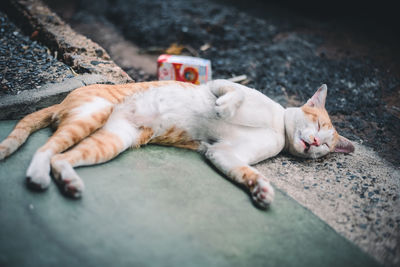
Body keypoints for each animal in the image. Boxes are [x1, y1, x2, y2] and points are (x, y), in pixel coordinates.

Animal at [0, 80, 354, 209]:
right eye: (319, 125)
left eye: (325, 148)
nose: (315, 142)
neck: (278, 128)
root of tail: (62, 101)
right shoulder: (219, 84)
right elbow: (234, 94)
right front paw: (225, 108)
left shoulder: (222, 152)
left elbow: (243, 171)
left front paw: (261, 190)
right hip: (93, 114)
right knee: (45, 149)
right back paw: (38, 176)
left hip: (111, 140)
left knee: (62, 157)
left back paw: (68, 182)